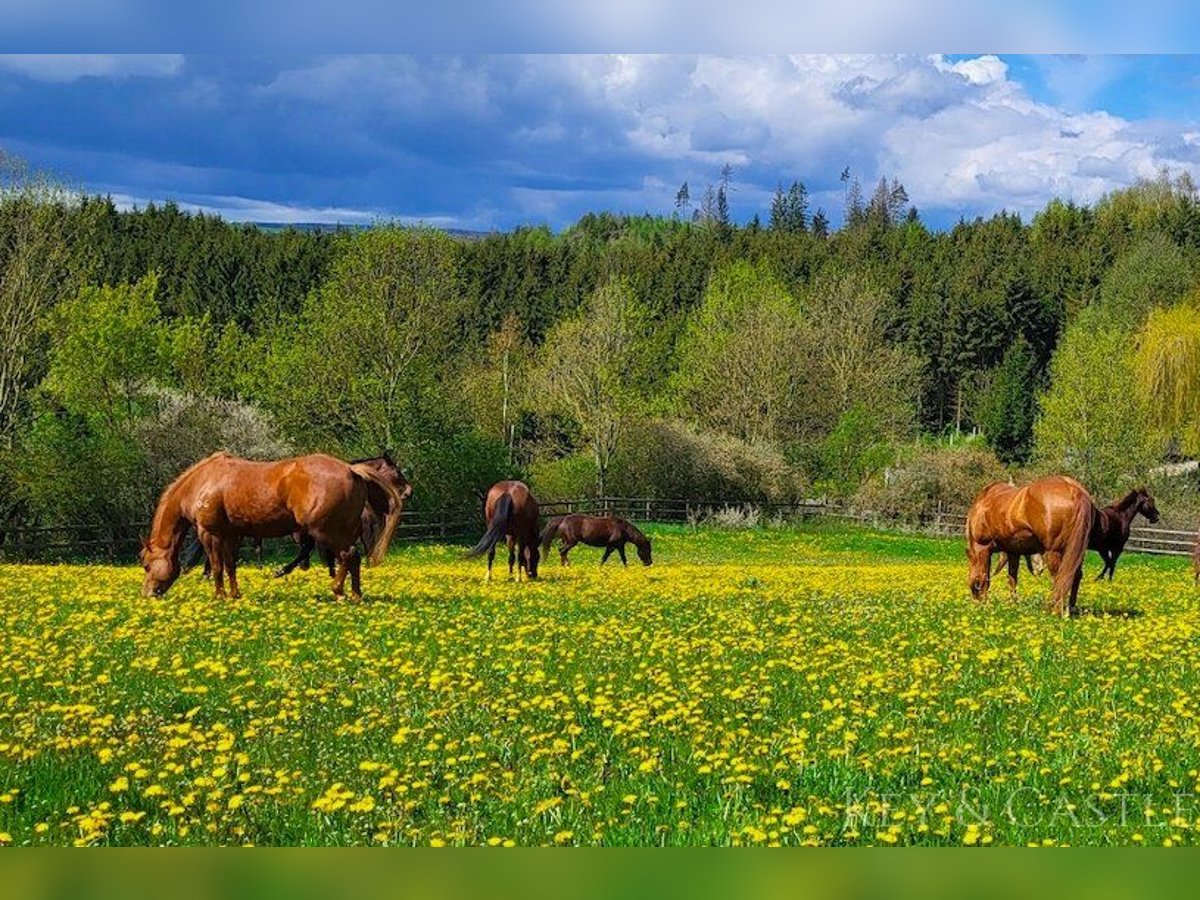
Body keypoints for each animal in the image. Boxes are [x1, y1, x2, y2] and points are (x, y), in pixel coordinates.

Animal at [139, 453, 403, 602]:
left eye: (145, 565)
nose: (147, 594)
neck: (204, 480)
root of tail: (350, 469)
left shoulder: (210, 533)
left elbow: (216, 566)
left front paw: (219, 596)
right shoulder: (232, 535)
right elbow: (230, 565)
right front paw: (235, 595)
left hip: (327, 532)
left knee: (348, 556)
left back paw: (338, 590)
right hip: (342, 532)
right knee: (353, 558)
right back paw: (356, 594)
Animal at [964, 475, 1099, 619]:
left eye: (975, 586)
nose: (978, 604)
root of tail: (1074, 489)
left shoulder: (983, 548)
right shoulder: (1013, 552)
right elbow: (1012, 578)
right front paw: (1013, 604)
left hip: (1053, 552)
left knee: (1061, 577)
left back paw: (1056, 612)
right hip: (1076, 552)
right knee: (1075, 575)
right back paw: (1070, 610)